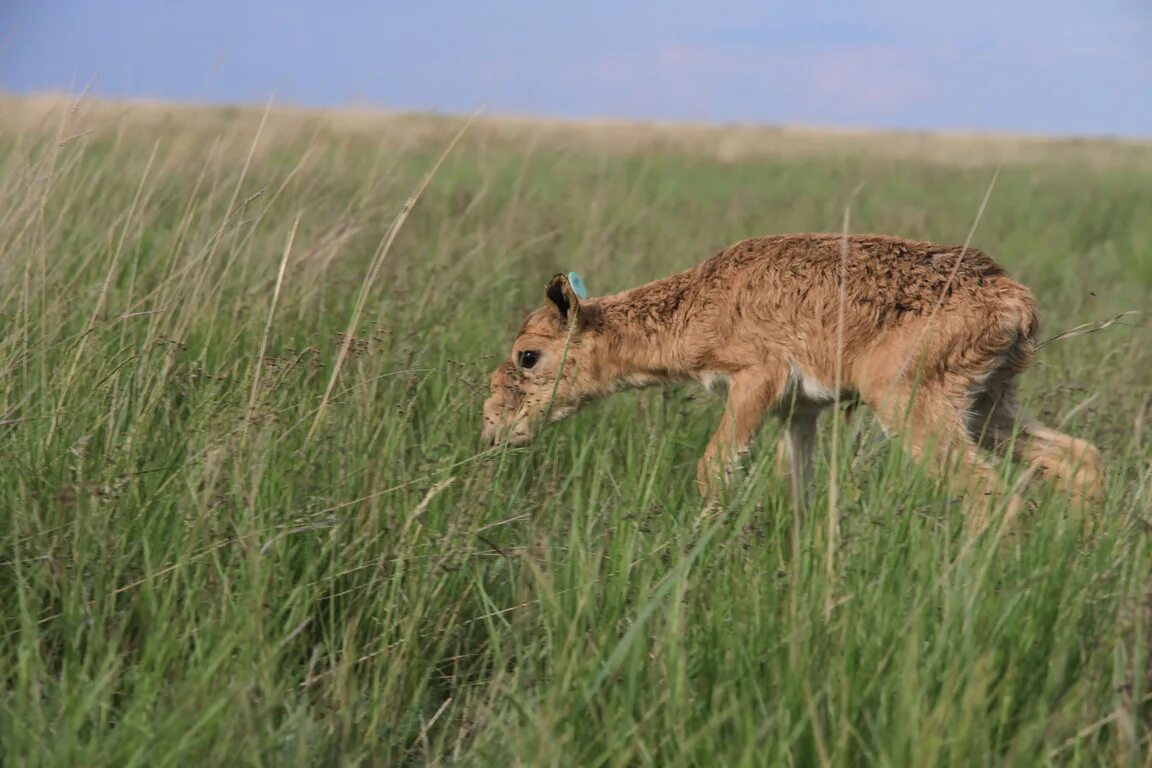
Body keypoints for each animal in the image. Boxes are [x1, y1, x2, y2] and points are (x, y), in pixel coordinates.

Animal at [479, 232, 1105, 522]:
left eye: (528, 356)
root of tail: (1017, 304)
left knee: (992, 495)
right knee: (1080, 457)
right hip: (987, 404)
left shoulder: (756, 381)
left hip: (910, 403)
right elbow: (798, 491)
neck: (697, 304)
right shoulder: (799, 411)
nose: (491, 430)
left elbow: (711, 471)